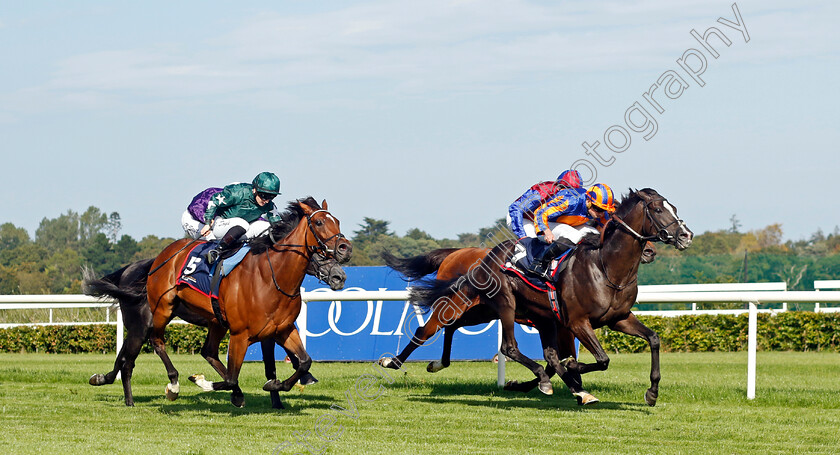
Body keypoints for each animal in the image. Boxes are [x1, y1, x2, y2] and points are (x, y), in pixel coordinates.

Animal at [83, 251, 346, 408]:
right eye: (320, 253)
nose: (339, 276)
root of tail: (129, 270)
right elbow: (270, 365)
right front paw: (279, 395)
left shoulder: (271, 329)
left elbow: (280, 363)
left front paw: (285, 389)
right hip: (143, 325)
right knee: (130, 359)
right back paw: (138, 396)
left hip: (149, 326)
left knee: (125, 356)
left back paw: (103, 379)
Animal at [139, 198, 350, 408]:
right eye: (319, 222)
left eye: (338, 222)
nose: (345, 249)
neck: (270, 278)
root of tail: (163, 254)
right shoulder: (240, 335)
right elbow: (231, 378)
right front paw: (201, 381)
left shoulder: (283, 329)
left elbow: (305, 361)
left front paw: (276, 385)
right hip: (163, 307)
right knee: (157, 341)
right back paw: (174, 385)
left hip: (216, 320)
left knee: (209, 351)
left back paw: (237, 394)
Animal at [406, 189, 688, 406]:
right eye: (657, 209)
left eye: (674, 207)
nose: (686, 235)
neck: (606, 268)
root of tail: (488, 255)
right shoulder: (576, 322)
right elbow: (599, 359)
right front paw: (573, 375)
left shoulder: (618, 318)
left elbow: (653, 339)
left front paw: (652, 393)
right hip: (503, 304)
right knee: (503, 345)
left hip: (496, 311)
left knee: (453, 326)